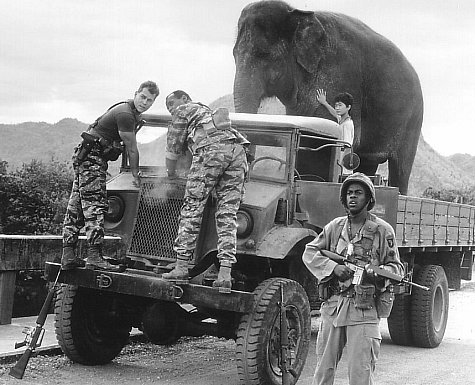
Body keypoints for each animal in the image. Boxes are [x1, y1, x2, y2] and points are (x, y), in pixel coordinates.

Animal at [234, 0, 424, 195]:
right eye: (234, 55)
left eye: (264, 55)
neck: (298, 13)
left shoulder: (337, 78)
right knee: (366, 163)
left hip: (413, 122)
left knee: (400, 169)